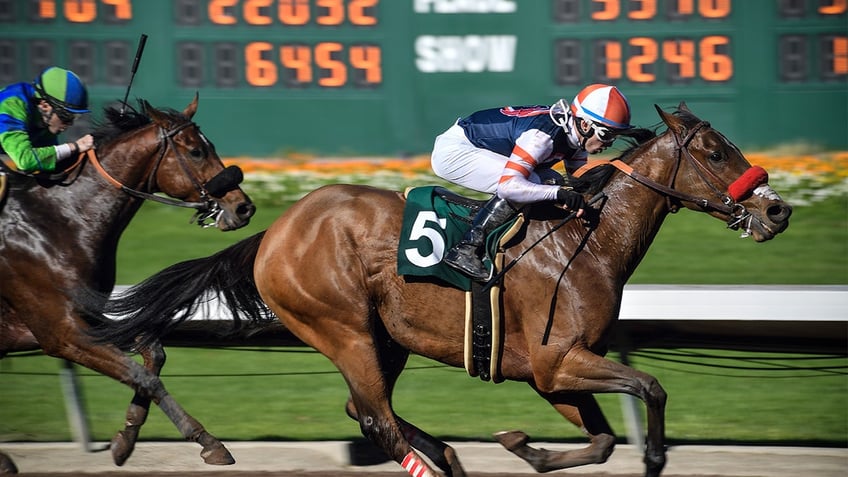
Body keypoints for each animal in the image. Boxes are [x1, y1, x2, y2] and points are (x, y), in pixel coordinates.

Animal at [0, 96, 253, 472]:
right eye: (196, 151)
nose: (243, 207)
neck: (60, 220)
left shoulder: (93, 315)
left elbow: (153, 356)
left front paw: (125, 439)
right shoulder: (60, 332)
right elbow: (142, 375)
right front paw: (209, 443)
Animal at [83, 104, 792, 476]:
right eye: (716, 152)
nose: (777, 209)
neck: (585, 240)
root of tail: (277, 230)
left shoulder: (554, 373)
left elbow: (600, 439)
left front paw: (525, 447)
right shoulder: (557, 361)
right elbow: (650, 386)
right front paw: (654, 457)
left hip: (384, 337)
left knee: (366, 409)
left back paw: (448, 454)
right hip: (340, 325)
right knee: (374, 418)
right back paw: (433, 460)